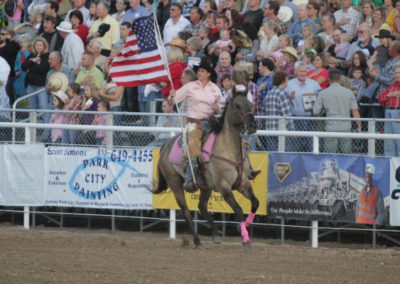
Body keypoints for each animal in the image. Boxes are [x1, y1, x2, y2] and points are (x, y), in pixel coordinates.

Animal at [153, 91, 260, 248]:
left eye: (251, 104)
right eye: (237, 105)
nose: (252, 125)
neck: (228, 149)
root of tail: (165, 146)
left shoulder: (243, 184)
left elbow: (255, 203)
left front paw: (245, 225)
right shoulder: (224, 187)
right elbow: (239, 210)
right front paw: (245, 239)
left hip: (206, 187)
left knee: (202, 206)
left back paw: (215, 235)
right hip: (175, 184)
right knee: (186, 212)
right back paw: (197, 241)